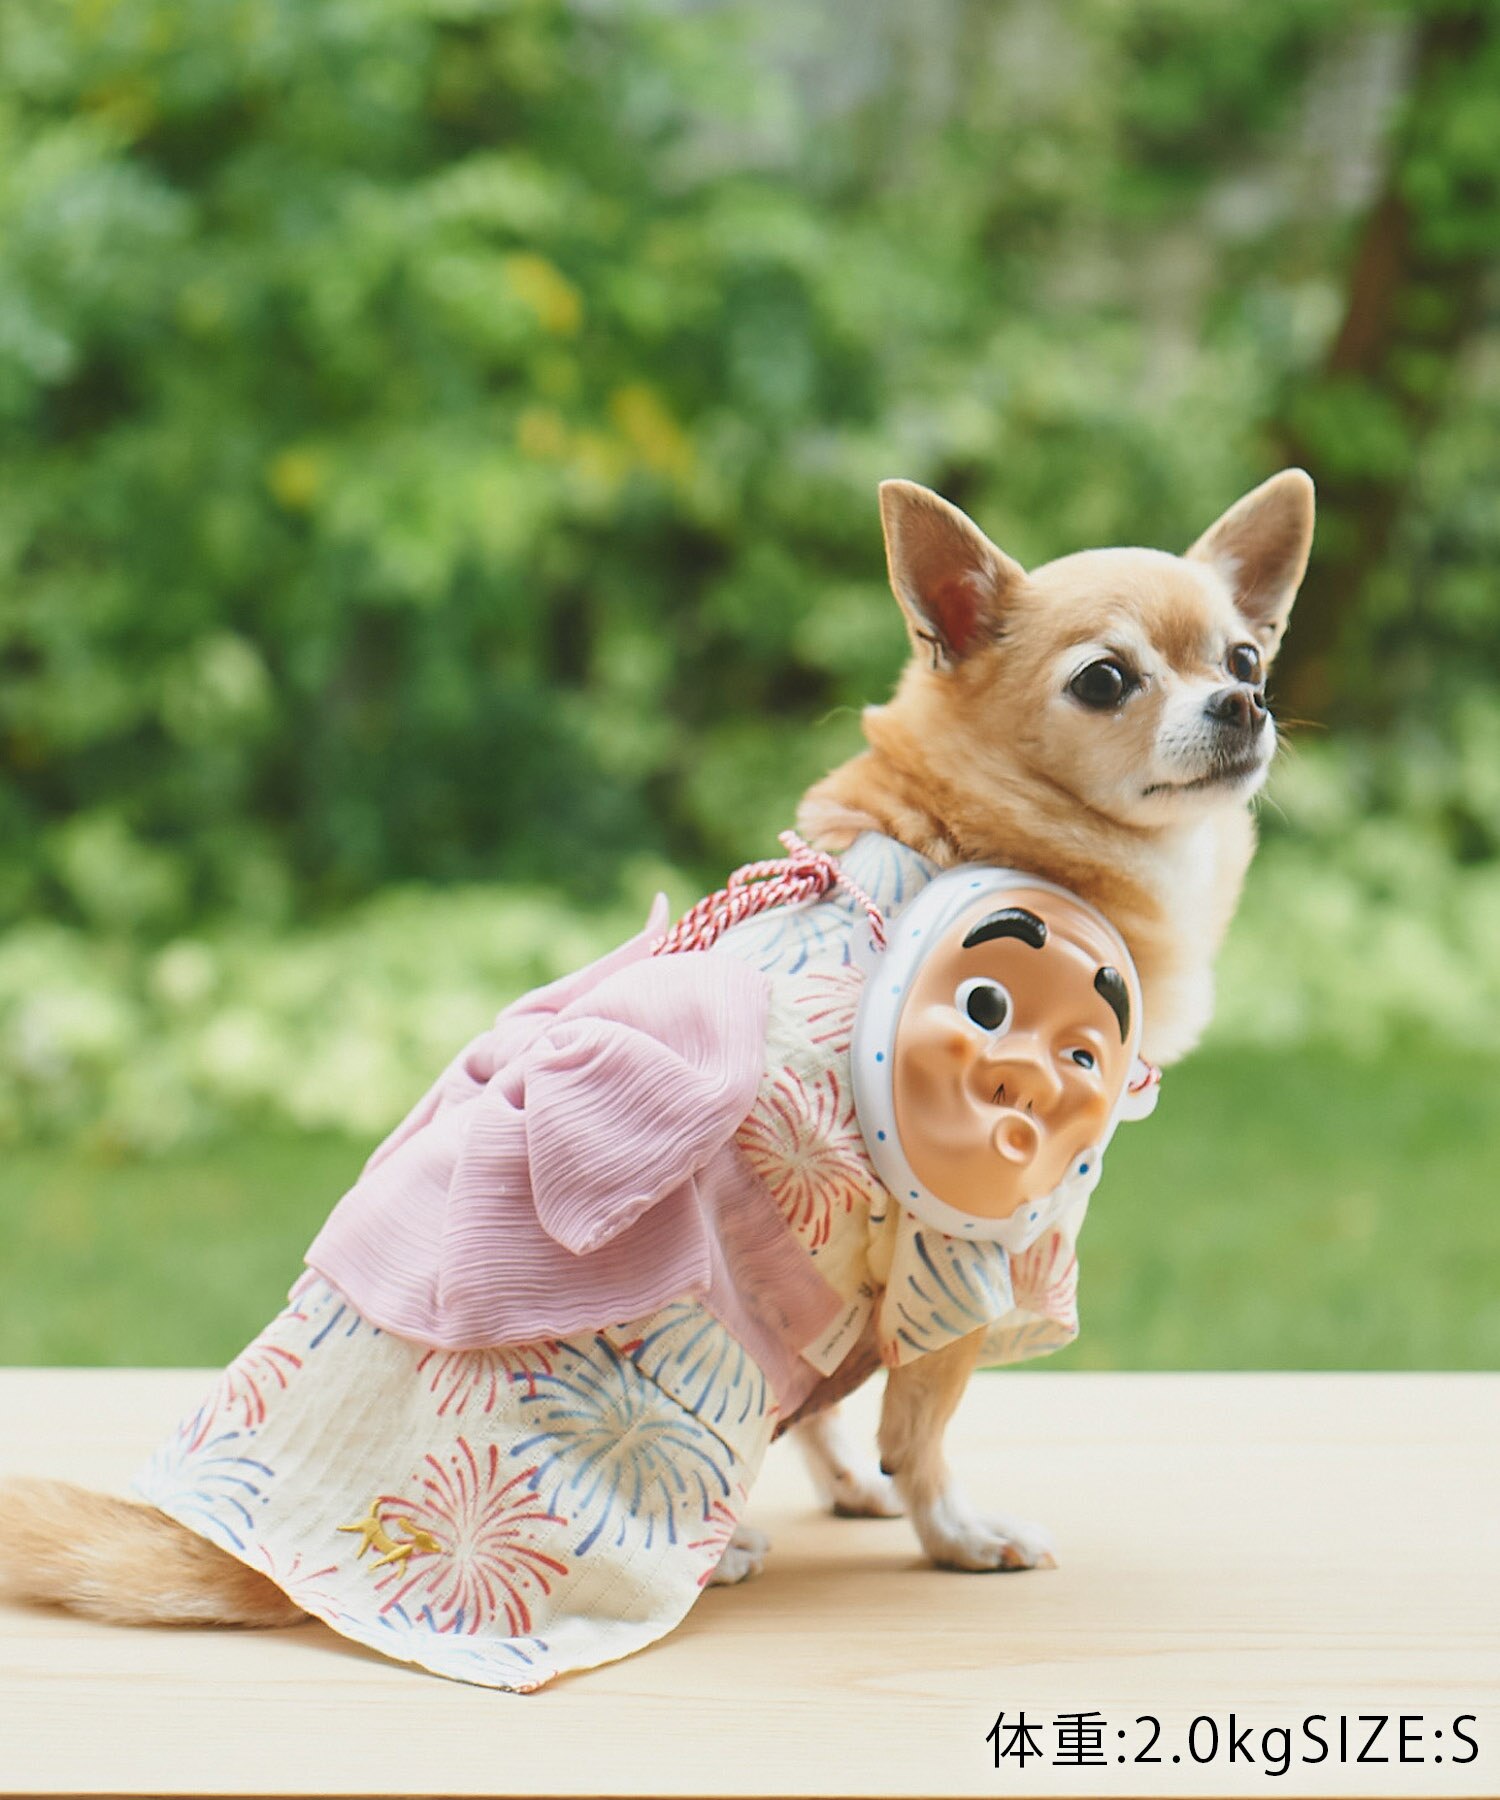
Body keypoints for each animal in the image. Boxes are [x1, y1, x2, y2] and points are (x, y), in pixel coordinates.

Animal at [0, 468, 1310, 1620]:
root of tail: (263, 1546)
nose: (1242, 705)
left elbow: (832, 1401)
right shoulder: (970, 1248)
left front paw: (850, 1484)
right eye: (1105, 681)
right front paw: (956, 1533)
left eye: (1246, 657)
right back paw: (717, 1552)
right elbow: (923, 1426)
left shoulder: (841, 1293)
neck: (971, 831)